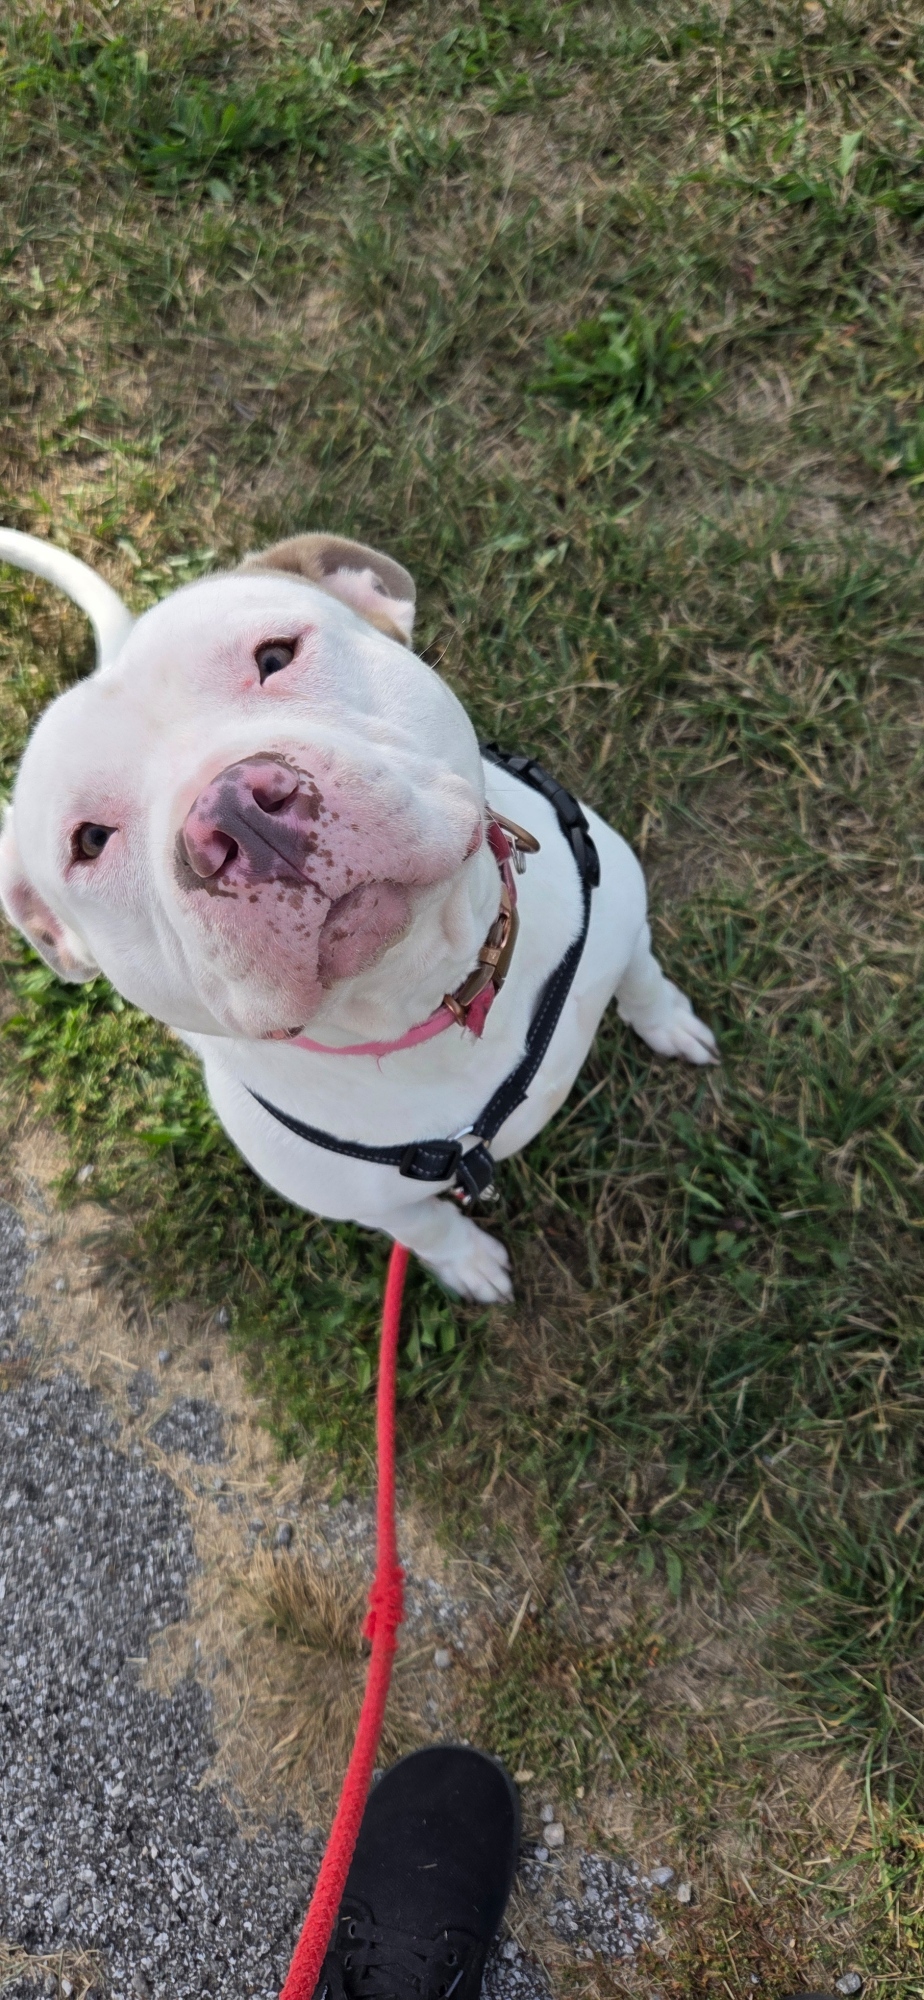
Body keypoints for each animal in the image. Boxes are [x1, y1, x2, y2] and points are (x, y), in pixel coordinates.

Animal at [0, 528, 717, 1301]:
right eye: (90, 842)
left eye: (275, 656)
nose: (233, 812)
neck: (422, 987)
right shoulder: (367, 1201)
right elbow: (425, 1225)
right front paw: (465, 1261)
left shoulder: (621, 919)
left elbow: (643, 978)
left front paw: (671, 1023)